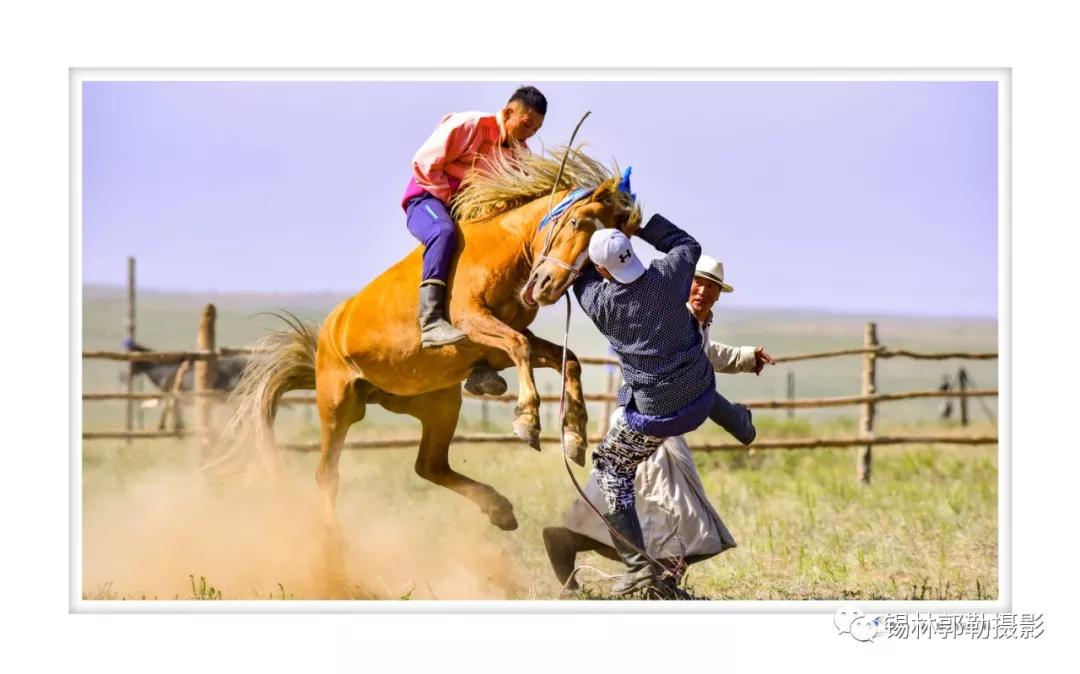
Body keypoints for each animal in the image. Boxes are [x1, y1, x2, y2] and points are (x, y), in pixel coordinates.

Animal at [222, 146, 635, 531]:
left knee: (429, 466)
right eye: (577, 221)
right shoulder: (474, 323)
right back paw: (334, 541)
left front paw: (575, 435)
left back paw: (499, 509)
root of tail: (328, 333)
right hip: (337, 404)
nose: (549, 285)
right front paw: (528, 420)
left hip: (436, 403)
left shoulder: (501, 345)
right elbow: (520, 347)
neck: (500, 250)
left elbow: (566, 359)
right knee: (328, 474)